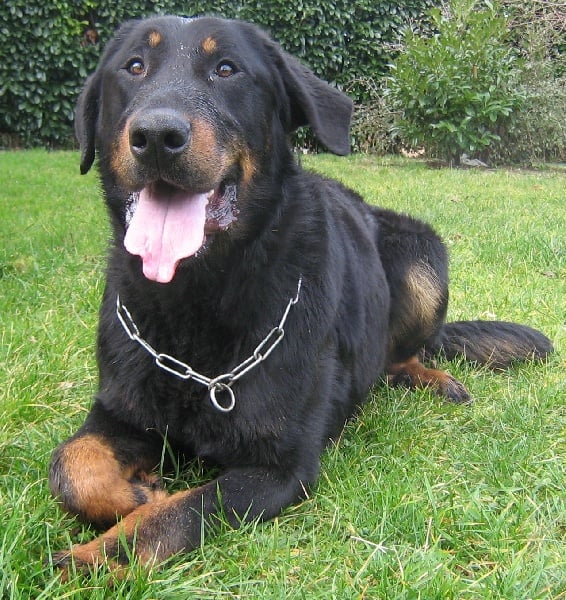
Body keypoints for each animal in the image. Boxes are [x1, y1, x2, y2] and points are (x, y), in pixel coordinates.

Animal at [48, 15, 553, 575]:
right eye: (134, 66)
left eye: (228, 69)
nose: (157, 135)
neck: (197, 294)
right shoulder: (118, 410)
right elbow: (71, 466)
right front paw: (135, 491)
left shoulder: (279, 467)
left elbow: (171, 517)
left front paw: (92, 558)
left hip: (422, 256)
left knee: (403, 353)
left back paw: (430, 378)